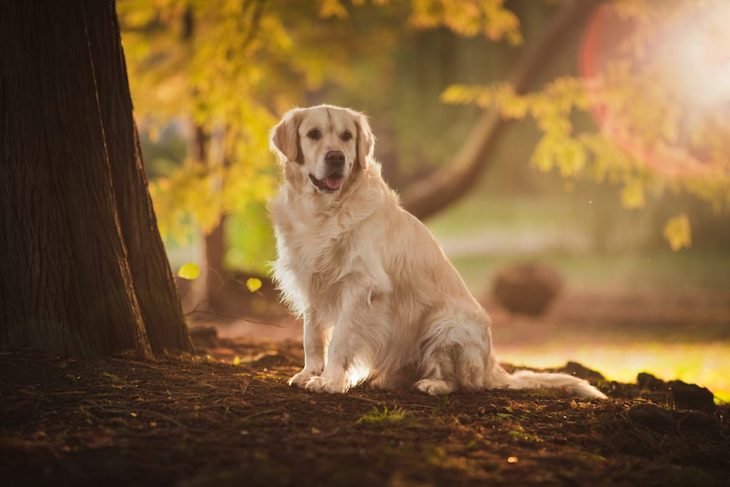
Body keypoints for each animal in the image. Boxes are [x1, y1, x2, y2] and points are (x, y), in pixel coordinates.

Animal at [268, 105, 604, 398]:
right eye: (313, 134)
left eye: (346, 136)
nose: (336, 157)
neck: (324, 211)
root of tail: (492, 365)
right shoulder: (312, 283)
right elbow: (312, 338)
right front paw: (309, 373)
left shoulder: (362, 285)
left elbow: (340, 339)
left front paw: (330, 381)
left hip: (446, 325)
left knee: (461, 382)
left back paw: (433, 384)